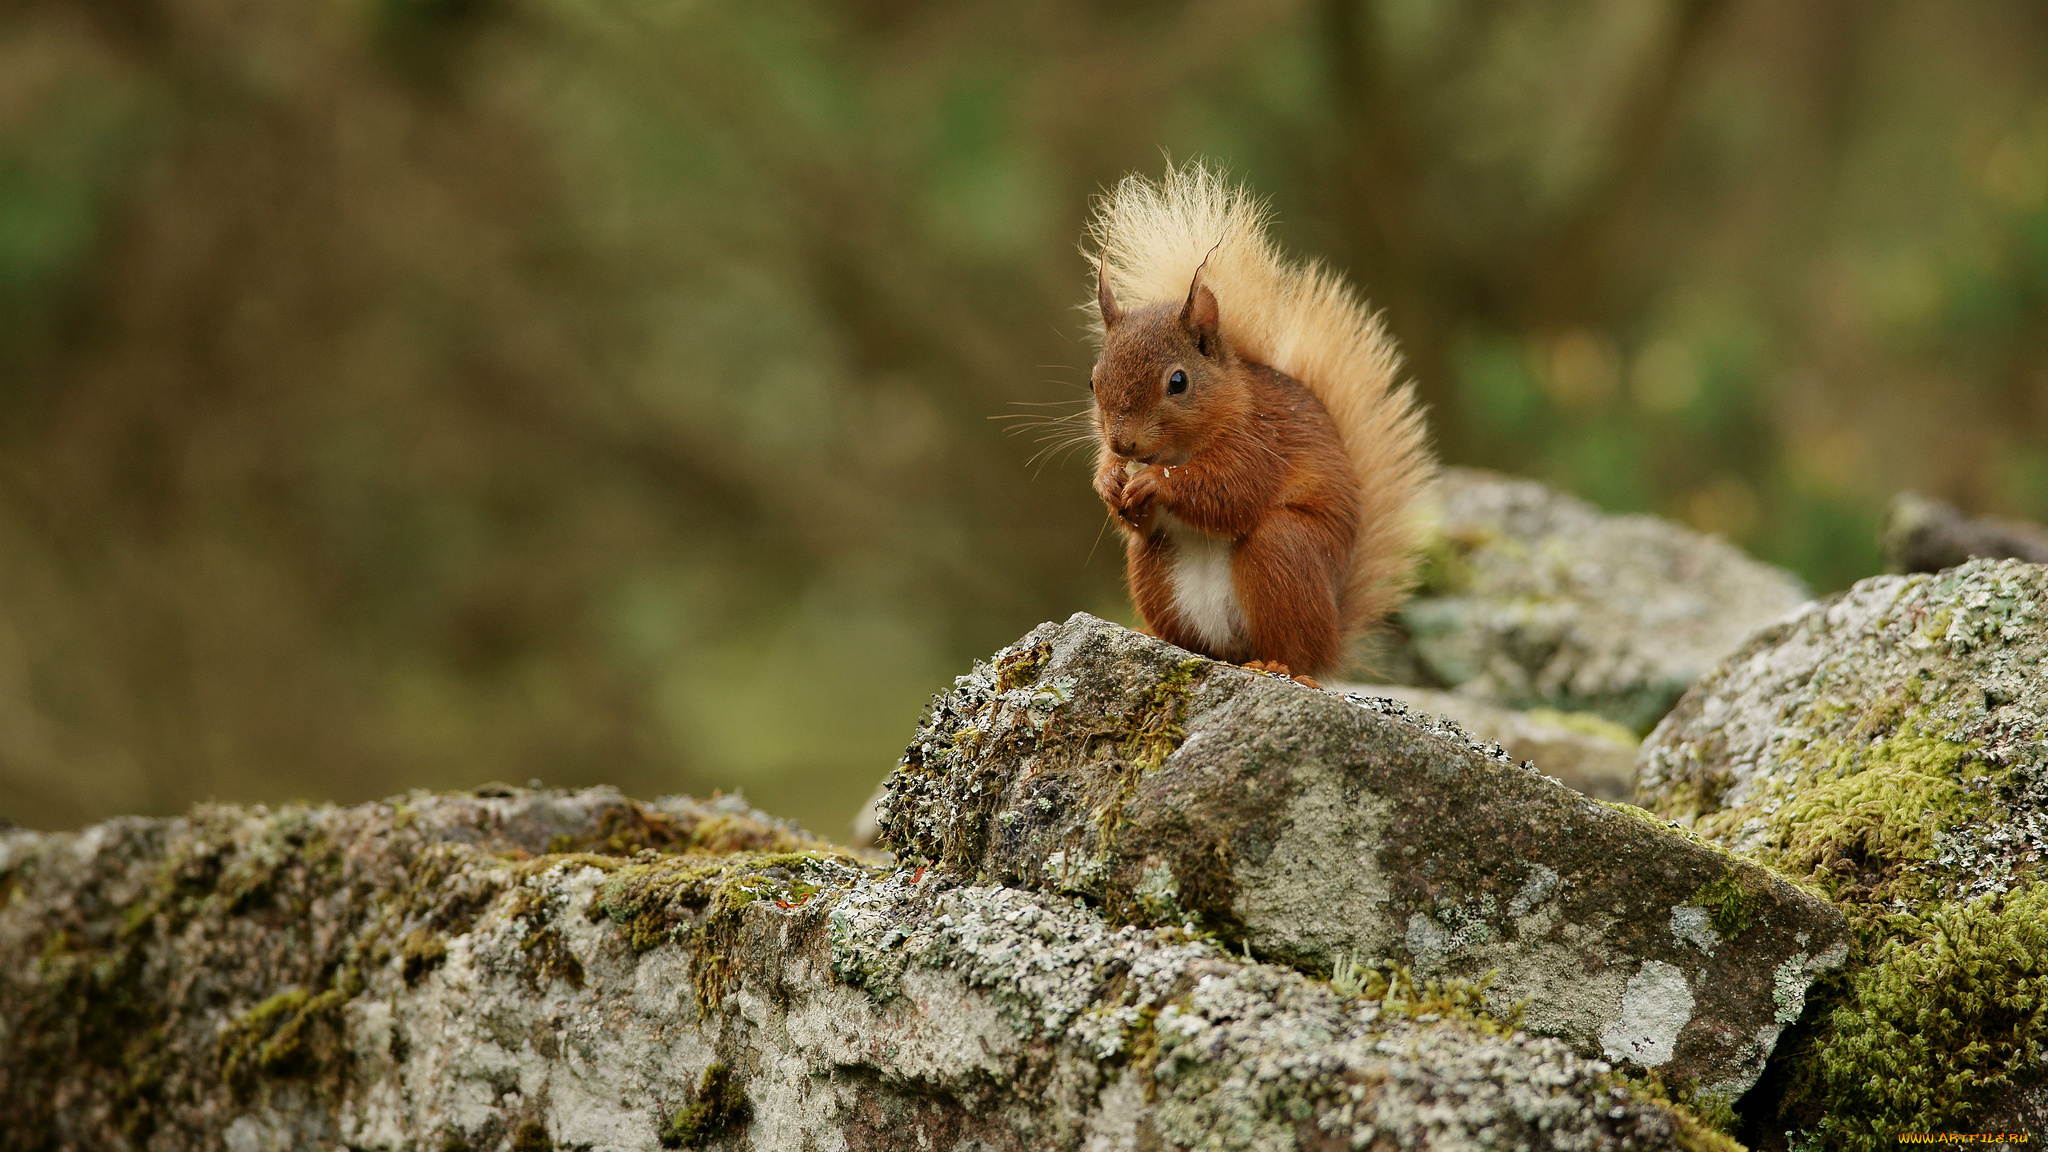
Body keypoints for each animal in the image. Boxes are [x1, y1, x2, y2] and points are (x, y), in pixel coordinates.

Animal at [1081, 166, 1433, 676]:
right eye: (1092, 381)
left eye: (1178, 382)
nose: (1122, 445)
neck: (1179, 449)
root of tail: (1333, 641)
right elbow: (1134, 516)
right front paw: (1109, 481)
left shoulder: (1261, 442)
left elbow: (1232, 491)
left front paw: (1154, 482)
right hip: (1152, 567)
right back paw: (1154, 637)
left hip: (1282, 552)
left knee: (1294, 649)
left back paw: (1279, 667)